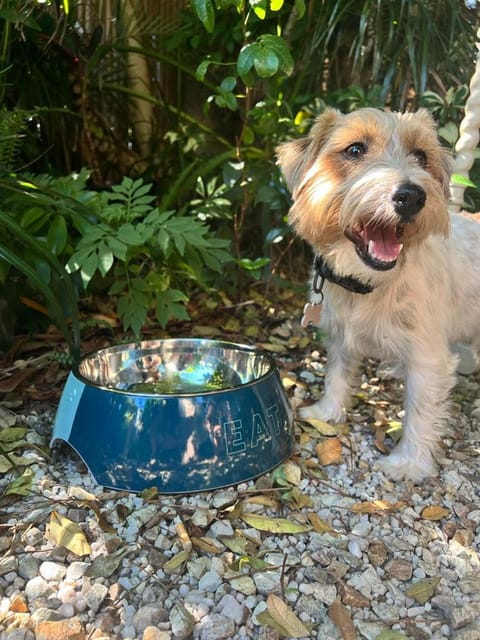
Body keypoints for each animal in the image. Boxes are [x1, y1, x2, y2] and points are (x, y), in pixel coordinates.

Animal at [276, 109, 480, 480]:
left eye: (422, 156)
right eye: (355, 150)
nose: (412, 196)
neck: (370, 285)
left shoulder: (428, 357)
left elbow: (420, 409)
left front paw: (409, 462)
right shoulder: (341, 336)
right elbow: (337, 374)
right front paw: (326, 411)